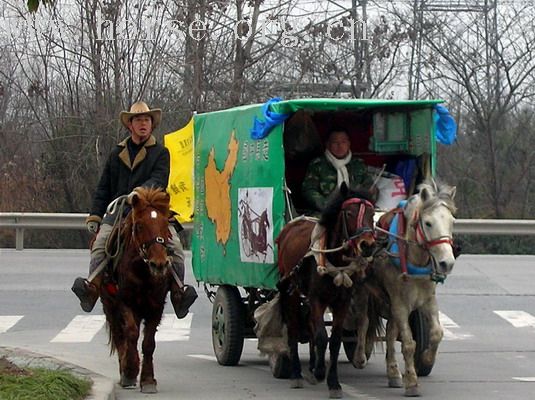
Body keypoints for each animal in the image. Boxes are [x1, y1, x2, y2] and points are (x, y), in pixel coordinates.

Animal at [99, 188, 173, 394]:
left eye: (166, 224)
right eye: (139, 225)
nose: (159, 264)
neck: (142, 270)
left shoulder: (156, 306)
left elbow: (149, 343)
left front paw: (147, 379)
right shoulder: (125, 302)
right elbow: (131, 334)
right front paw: (130, 371)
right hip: (109, 305)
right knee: (119, 335)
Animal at [276, 184, 376, 396]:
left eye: (372, 214)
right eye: (349, 213)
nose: (368, 245)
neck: (336, 260)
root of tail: (293, 225)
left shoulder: (342, 302)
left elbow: (335, 340)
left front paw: (333, 382)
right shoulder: (317, 299)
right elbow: (322, 337)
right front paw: (321, 372)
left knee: (310, 326)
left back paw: (312, 364)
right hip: (291, 291)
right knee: (294, 328)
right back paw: (296, 373)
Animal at [350, 180, 458, 396]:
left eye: (452, 222)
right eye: (428, 223)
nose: (447, 263)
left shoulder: (427, 299)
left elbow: (436, 333)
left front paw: (426, 359)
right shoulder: (400, 302)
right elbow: (408, 343)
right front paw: (412, 382)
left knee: (391, 332)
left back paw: (392, 371)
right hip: (364, 291)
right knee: (363, 321)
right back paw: (359, 357)